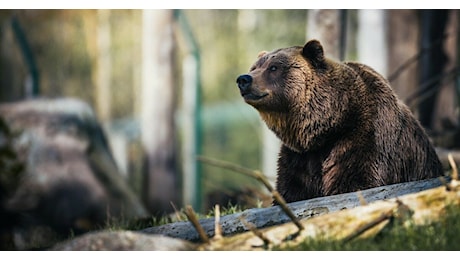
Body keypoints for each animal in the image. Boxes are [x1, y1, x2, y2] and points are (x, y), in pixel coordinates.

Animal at [235, 39, 444, 203]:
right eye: (255, 67)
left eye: (274, 67)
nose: (244, 79)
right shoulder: (300, 157)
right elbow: (292, 190)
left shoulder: (364, 137)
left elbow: (354, 181)